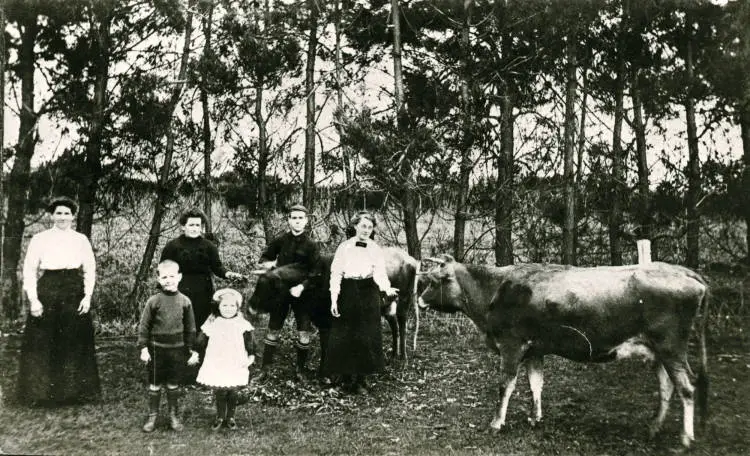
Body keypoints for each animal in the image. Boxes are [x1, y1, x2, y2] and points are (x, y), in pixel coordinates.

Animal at [420, 256, 712, 448]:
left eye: (434, 281)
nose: (419, 299)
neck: (495, 289)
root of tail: (685, 272)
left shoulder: (512, 345)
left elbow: (505, 386)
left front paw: (496, 423)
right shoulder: (534, 349)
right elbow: (535, 383)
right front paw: (535, 418)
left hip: (671, 346)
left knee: (687, 387)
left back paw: (685, 439)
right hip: (659, 350)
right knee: (667, 386)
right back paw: (653, 428)